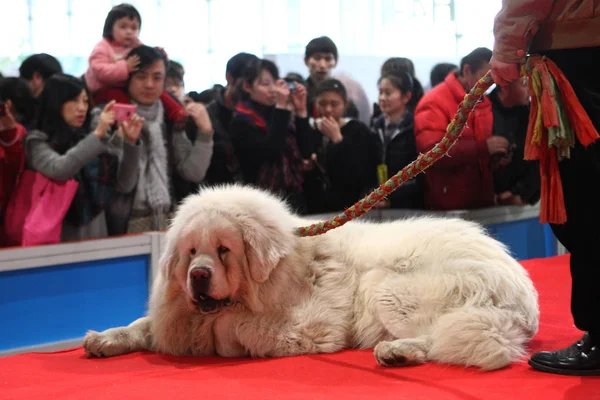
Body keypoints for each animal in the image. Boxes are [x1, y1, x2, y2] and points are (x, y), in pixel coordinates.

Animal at [83, 186, 540, 370]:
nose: (198, 276)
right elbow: (145, 325)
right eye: (192, 251)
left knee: (440, 336)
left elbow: (229, 325)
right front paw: (106, 339)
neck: (283, 273)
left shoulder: (311, 327)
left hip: (389, 288)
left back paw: (398, 351)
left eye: (224, 250)